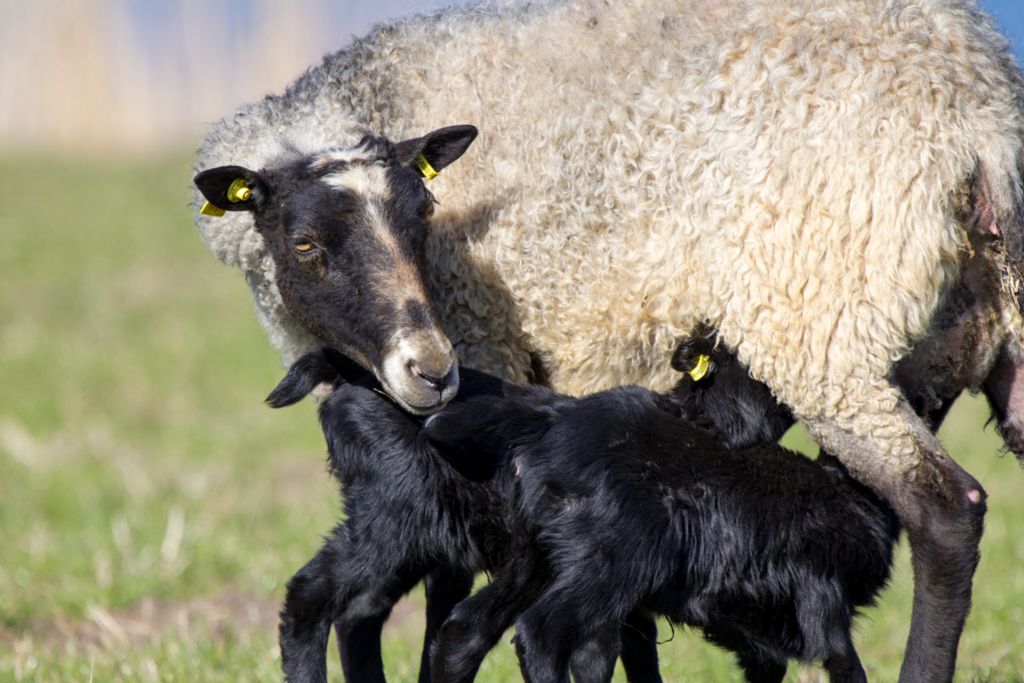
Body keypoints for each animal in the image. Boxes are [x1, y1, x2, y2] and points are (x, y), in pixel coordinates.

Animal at [193, 2, 1024, 679]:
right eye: (305, 245)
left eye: (424, 216)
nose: (429, 369)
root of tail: (979, 106)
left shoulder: (482, 362)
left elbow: (445, 598)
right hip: (979, 334)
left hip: (821, 323)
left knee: (945, 510)